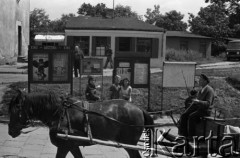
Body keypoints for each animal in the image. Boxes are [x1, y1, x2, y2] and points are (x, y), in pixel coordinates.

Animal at [8, 90, 154, 158]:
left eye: (16, 109)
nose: (10, 131)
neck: (59, 113)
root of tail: (140, 109)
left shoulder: (65, 145)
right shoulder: (72, 146)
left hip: (130, 144)